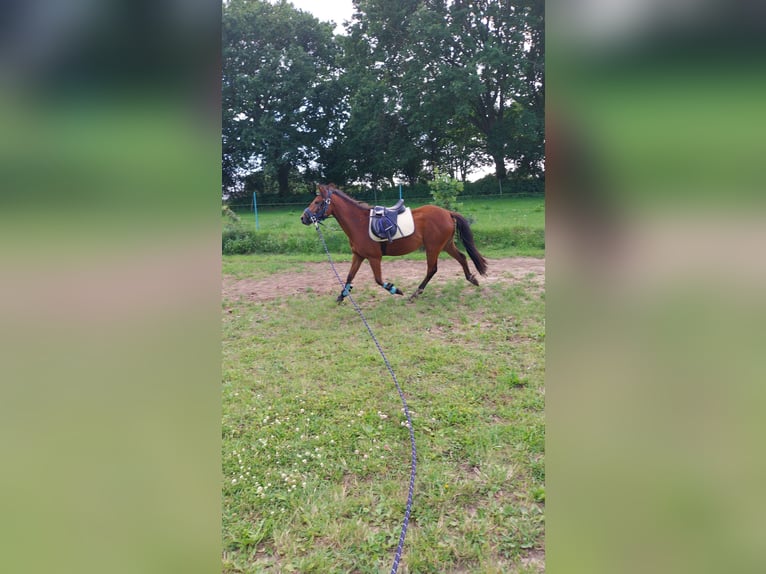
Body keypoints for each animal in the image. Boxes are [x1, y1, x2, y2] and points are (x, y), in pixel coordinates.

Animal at [304, 184, 488, 304]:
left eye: (317, 202)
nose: (303, 218)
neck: (359, 223)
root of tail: (448, 213)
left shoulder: (374, 258)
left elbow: (378, 280)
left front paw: (395, 290)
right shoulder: (358, 256)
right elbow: (349, 276)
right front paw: (342, 296)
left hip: (433, 248)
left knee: (432, 269)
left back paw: (415, 293)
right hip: (446, 245)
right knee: (462, 257)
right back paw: (472, 279)